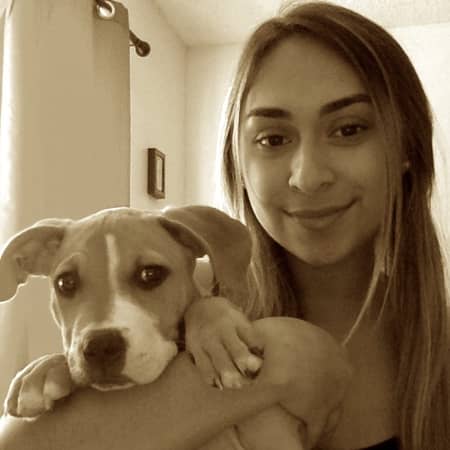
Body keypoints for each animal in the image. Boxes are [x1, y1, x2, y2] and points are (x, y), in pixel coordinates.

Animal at [0, 206, 350, 449]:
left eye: (151, 274)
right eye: (65, 283)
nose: (99, 347)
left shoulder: (272, 434)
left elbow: (205, 304)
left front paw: (219, 341)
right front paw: (41, 373)